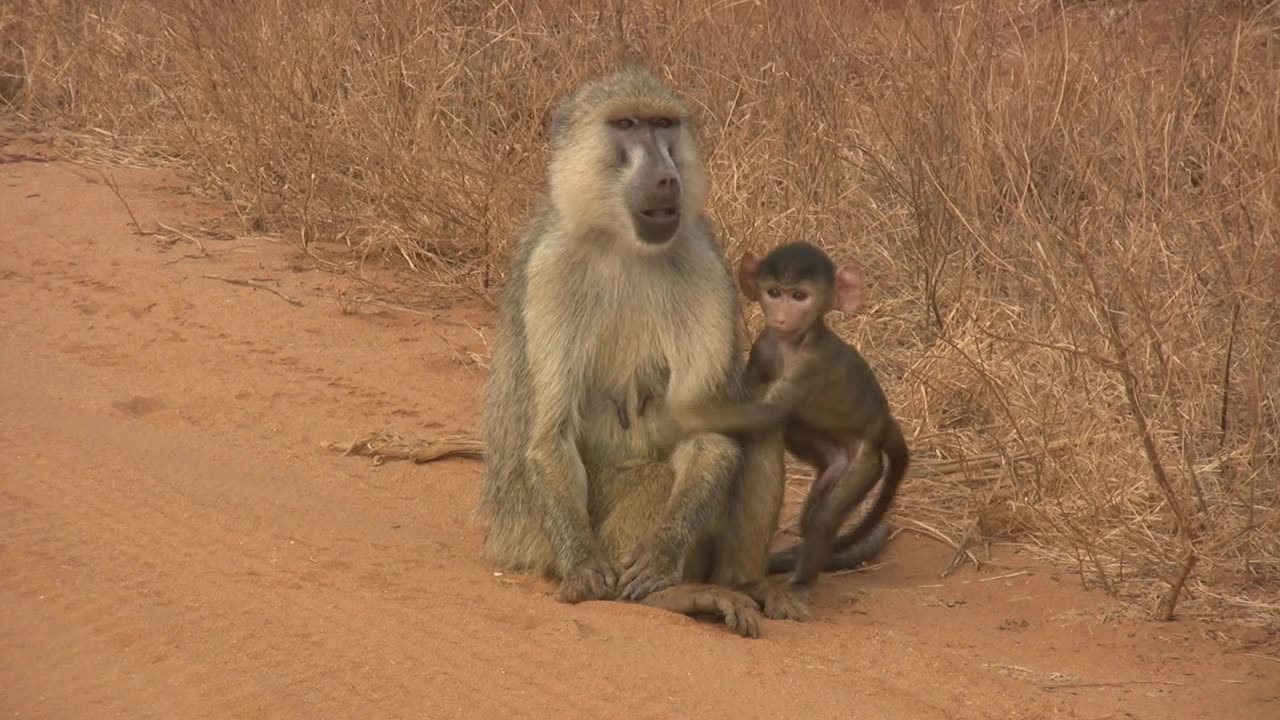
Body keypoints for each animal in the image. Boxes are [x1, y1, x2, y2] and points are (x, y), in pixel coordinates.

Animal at [475, 66, 845, 637]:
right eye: (627, 125)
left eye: (664, 125)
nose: (668, 177)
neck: (624, 244)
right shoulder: (551, 269)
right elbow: (549, 435)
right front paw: (585, 567)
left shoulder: (705, 261)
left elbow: (711, 430)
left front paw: (661, 556)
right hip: (532, 536)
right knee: (649, 475)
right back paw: (676, 597)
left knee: (756, 434)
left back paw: (741, 584)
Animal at [654, 241, 910, 618]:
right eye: (774, 292)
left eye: (800, 296)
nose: (782, 317)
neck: (792, 344)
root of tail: (883, 422)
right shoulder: (763, 345)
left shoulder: (808, 368)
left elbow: (767, 412)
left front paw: (676, 416)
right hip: (836, 458)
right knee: (810, 499)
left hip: (865, 462)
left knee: (823, 518)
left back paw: (801, 582)